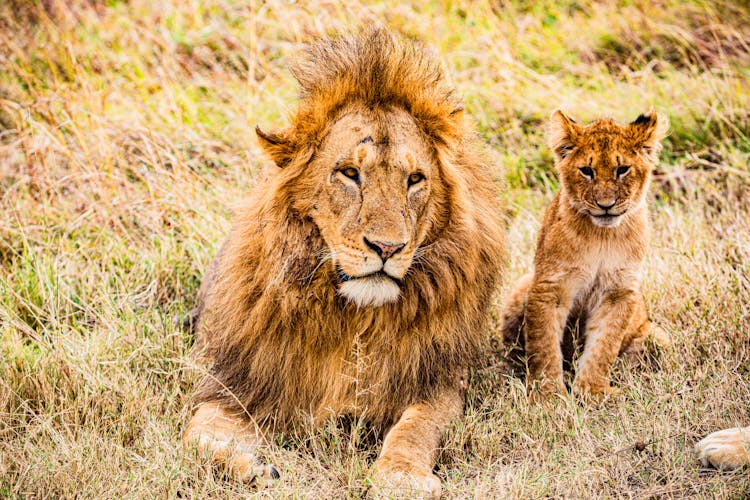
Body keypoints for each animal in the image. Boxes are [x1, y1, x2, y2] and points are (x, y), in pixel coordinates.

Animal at [184, 31, 506, 496]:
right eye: (350, 173)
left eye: (415, 180)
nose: (387, 248)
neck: (357, 319)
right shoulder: (238, 382)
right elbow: (196, 438)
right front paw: (254, 468)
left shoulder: (439, 380)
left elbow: (416, 427)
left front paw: (400, 478)